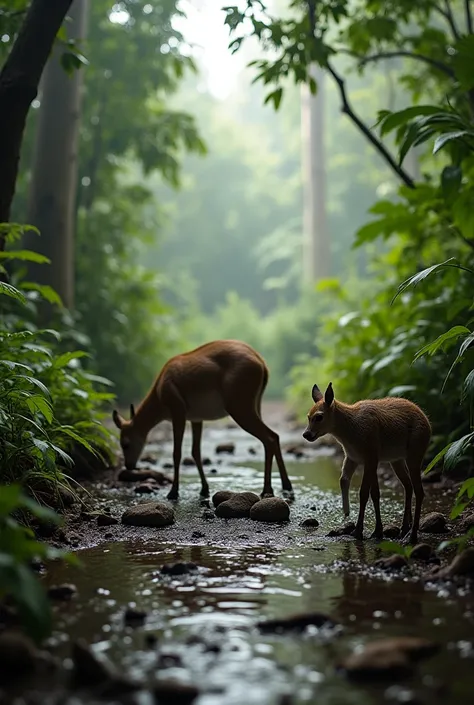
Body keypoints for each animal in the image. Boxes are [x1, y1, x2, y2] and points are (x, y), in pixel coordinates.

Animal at [114, 338, 292, 498]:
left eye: (125, 443)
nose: (128, 465)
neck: (159, 391)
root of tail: (261, 363)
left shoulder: (178, 412)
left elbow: (177, 453)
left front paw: (173, 492)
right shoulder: (196, 418)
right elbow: (195, 452)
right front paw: (204, 489)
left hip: (240, 408)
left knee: (269, 437)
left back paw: (268, 489)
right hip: (255, 406)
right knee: (273, 437)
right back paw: (286, 486)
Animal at [302, 382, 432, 540]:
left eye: (319, 417)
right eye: (308, 416)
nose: (306, 434)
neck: (351, 431)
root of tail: (428, 423)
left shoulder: (370, 456)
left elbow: (363, 493)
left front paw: (358, 530)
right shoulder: (355, 458)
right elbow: (363, 488)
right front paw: (375, 530)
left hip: (415, 452)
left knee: (419, 491)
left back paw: (412, 535)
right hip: (397, 459)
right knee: (408, 486)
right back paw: (405, 528)